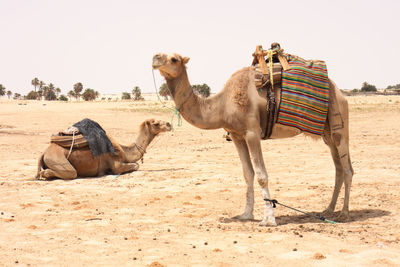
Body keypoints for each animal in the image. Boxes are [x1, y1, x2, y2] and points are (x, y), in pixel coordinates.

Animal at [35, 119, 170, 180]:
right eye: (156, 123)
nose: (169, 124)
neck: (124, 150)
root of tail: (44, 152)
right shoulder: (116, 163)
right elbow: (136, 165)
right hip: (57, 159)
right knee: (71, 173)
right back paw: (45, 175)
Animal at [152, 52, 354, 226]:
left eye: (174, 59)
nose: (155, 58)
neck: (221, 104)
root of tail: (339, 91)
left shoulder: (252, 132)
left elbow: (261, 176)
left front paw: (269, 220)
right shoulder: (236, 135)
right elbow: (247, 173)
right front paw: (246, 214)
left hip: (339, 120)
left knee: (348, 168)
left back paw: (344, 213)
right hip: (327, 133)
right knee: (338, 168)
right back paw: (329, 209)